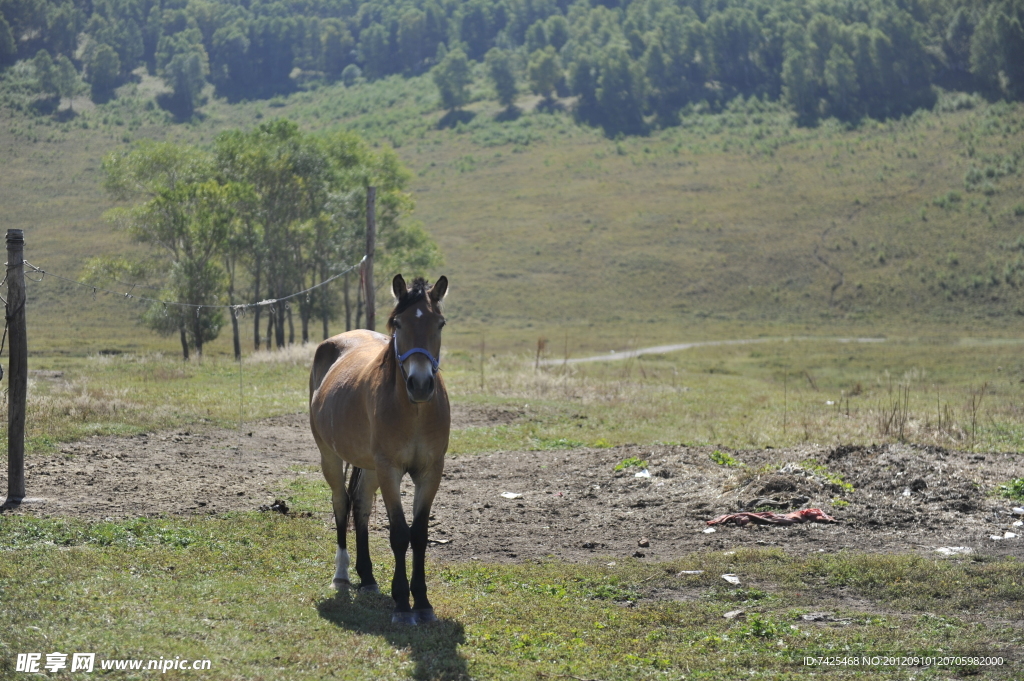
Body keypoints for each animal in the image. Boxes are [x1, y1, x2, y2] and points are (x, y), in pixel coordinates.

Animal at [309, 274, 450, 622]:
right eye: (398, 323)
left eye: (439, 323)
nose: (420, 384)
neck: (414, 412)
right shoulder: (390, 470)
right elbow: (399, 534)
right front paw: (402, 604)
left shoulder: (430, 472)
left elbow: (420, 534)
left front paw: (422, 602)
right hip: (331, 457)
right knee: (341, 504)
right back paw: (342, 575)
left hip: (370, 467)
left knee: (360, 505)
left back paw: (368, 578)